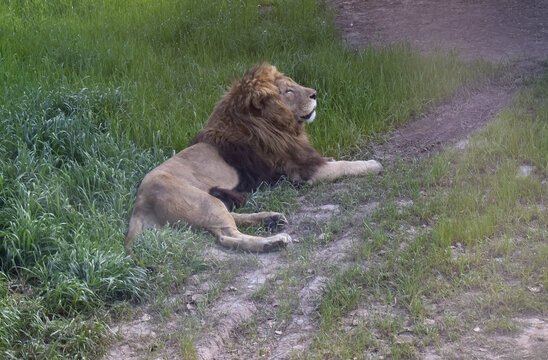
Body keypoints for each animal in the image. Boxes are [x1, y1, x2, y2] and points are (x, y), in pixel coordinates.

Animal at [125, 62, 382, 253]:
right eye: (288, 91)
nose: (315, 94)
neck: (277, 126)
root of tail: (139, 203)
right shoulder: (303, 171)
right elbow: (345, 165)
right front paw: (373, 164)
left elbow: (335, 160)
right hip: (204, 202)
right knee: (227, 236)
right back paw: (274, 241)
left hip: (211, 202)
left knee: (230, 218)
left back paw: (271, 219)